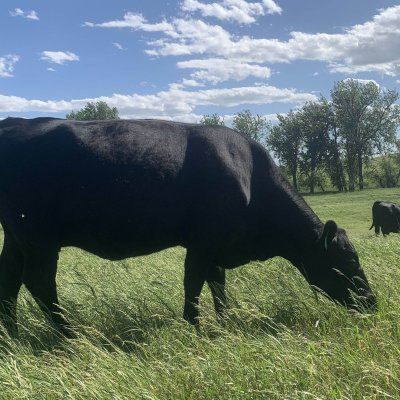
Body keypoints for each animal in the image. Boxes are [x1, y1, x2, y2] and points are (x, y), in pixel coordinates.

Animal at [0, 117, 376, 336]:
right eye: (349, 260)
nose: (372, 302)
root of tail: (15, 122)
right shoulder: (204, 241)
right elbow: (194, 281)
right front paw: (193, 324)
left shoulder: (218, 246)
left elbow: (217, 283)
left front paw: (225, 320)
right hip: (39, 237)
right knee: (39, 282)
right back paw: (71, 335)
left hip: (16, 237)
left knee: (10, 280)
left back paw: (11, 335)